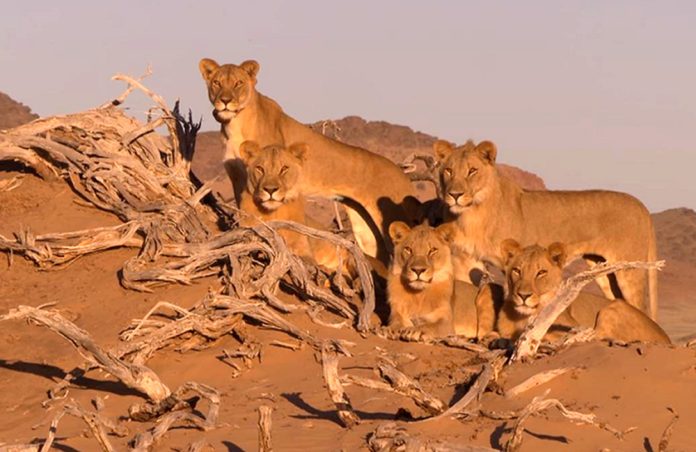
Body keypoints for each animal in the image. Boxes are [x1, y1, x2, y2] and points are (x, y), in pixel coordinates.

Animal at [199, 58, 417, 264]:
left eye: (238, 83)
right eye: (217, 83)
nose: (225, 101)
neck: (234, 124)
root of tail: (404, 177)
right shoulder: (238, 177)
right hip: (365, 229)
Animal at [433, 139, 658, 319]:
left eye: (472, 171)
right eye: (448, 171)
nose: (455, 195)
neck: (472, 214)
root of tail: (643, 206)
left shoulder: (512, 263)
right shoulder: (467, 260)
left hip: (629, 270)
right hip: (604, 271)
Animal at [497, 239, 670, 344]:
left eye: (541, 272)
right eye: (517, 270)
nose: (523, 295)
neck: (522, 318)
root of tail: (667, 339)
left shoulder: (571, 326)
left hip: (611, 309)